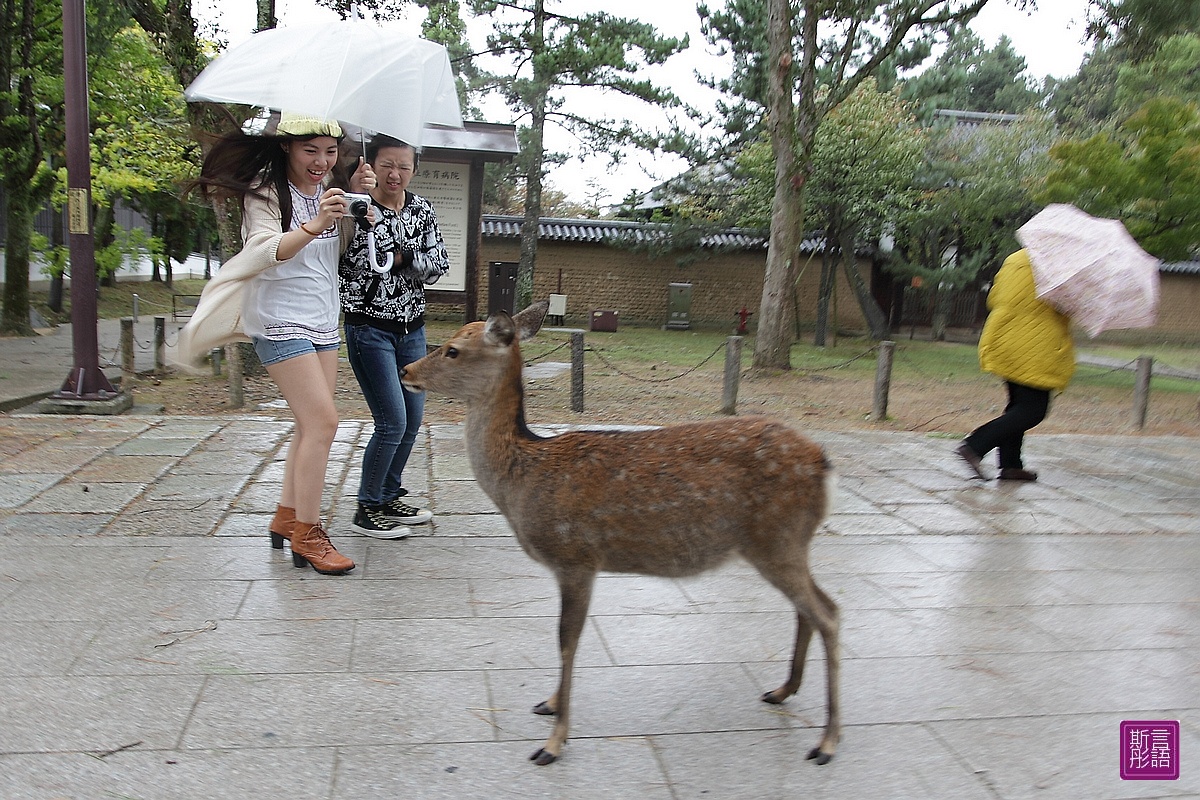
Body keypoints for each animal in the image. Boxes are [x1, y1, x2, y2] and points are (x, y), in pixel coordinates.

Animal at [398, 302, 840, 767]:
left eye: (452, 350)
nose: (405, 369)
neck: (524, 477)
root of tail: (825, 466)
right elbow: (566, 640)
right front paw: (549, 704)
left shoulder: (575, 557)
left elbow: (566, 641)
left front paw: (552, 743)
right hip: (782, 543)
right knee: (811, 609)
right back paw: (782, 690)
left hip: (778, 537)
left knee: (828, 614)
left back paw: (826, 742)